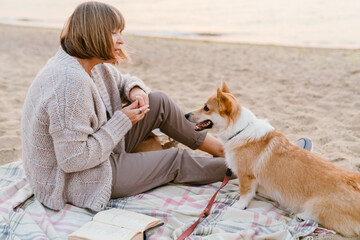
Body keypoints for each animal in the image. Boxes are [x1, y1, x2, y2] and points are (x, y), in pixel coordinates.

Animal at [186, 81, 360, 237]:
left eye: (206, 108)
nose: (185, 115)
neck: (239, 130)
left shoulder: (246, 175)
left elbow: (244, 194)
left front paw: (238, 205)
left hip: (317, 205)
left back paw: (301, 215)